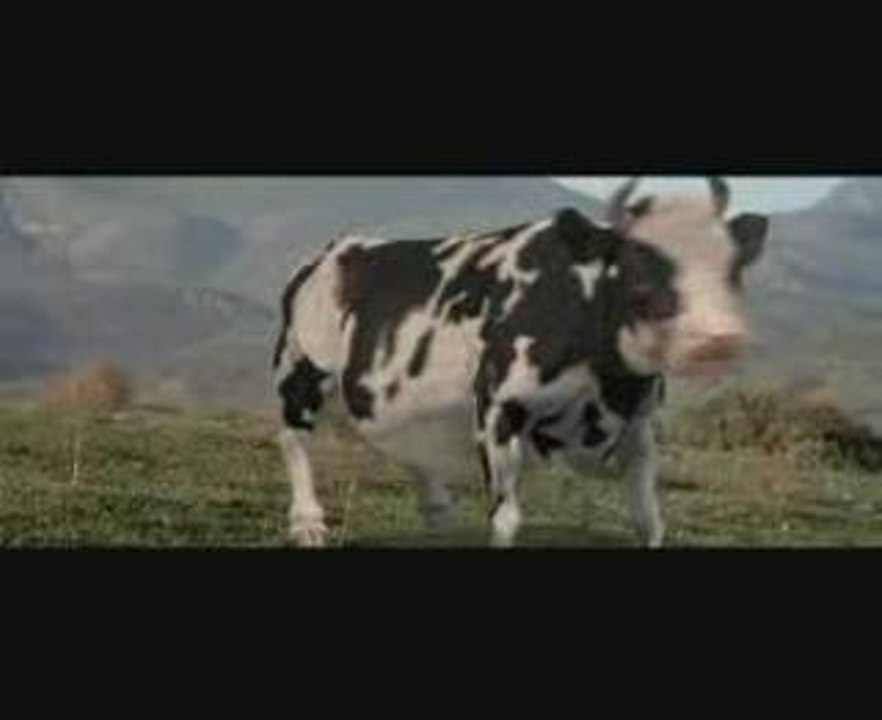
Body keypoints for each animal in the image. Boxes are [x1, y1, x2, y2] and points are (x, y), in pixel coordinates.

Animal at [272, 177, 770, 548]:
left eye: (732, 269)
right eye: (637, 272)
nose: (719, 338)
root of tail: (330, 252)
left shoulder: (641, 423)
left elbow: (649, 520)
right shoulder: (497, 408)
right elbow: (506, 519)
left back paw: (438, 511)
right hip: (300, 369)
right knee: (293, 438)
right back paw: (308, 523)